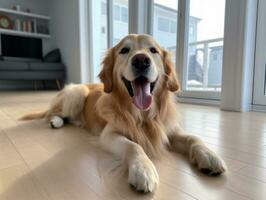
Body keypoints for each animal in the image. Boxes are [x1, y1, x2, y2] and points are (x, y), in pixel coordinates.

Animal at [21, 34, 228, 192]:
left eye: (153, 50)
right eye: (124, 50)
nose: (141, 60)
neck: (142, 116)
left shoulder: (168, 130)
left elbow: (193, 138)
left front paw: (209, 155)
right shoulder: (109, 134)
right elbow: (134, 146)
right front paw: (143, 169)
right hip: (77, 92)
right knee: (52, 113)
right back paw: (55, 121)